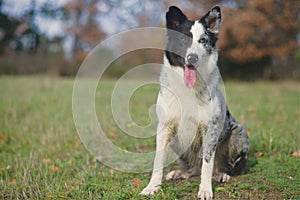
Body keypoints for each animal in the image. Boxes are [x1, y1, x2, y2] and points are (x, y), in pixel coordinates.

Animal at [139, 5, 250, 199]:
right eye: (183, 39)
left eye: (203, 40)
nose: (192, 58)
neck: (188, 89)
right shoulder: (165, 127)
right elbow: (158, 160)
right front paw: (152, 186)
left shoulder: (210, 129)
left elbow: (207, 163)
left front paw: (205, 189)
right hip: (177, 142)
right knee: (194, 169)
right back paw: (182, 173)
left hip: (238, 132)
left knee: (219, 167)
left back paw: (221, 174)